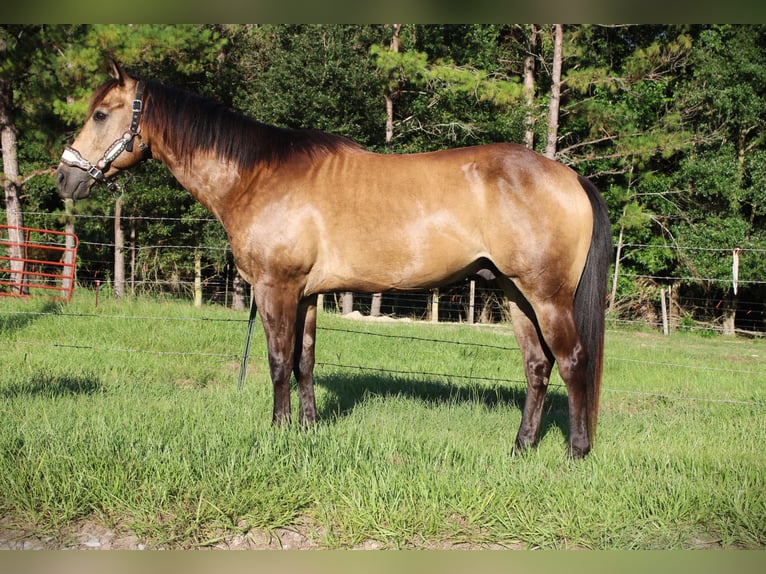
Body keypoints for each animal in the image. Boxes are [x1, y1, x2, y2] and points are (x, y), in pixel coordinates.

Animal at [56, 60, 611, 458]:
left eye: (101, 114)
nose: (65, 177)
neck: (257, 176)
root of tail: (569, 176)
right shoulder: (305, 295)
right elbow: (304, 360)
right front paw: (306, 428)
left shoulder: (276, 288)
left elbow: (279, 360)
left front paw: (278, 431)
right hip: (515, 294)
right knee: (537, 366)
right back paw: (521, 448)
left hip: (547, 296)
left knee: (572, 361)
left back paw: (576, 453)